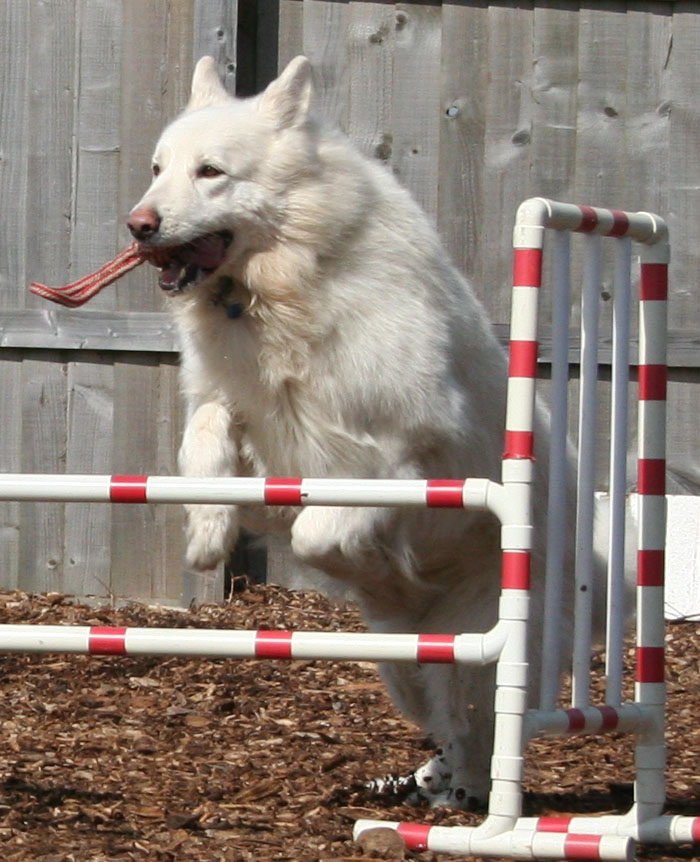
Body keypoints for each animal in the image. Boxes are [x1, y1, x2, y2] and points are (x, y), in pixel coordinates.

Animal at [129, 57, 576, 808]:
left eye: (210, 171)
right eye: (158, 169)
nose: (137, 226)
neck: (281, 288)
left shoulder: (402, 457)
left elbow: (321, 526)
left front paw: (358, 557)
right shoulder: (239, 407)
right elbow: (205, 436)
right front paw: (208, 532)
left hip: (472, 643)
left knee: (478, 721)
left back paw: (470, 796)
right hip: (404, 668)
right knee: (451, 726)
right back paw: (439, 783)